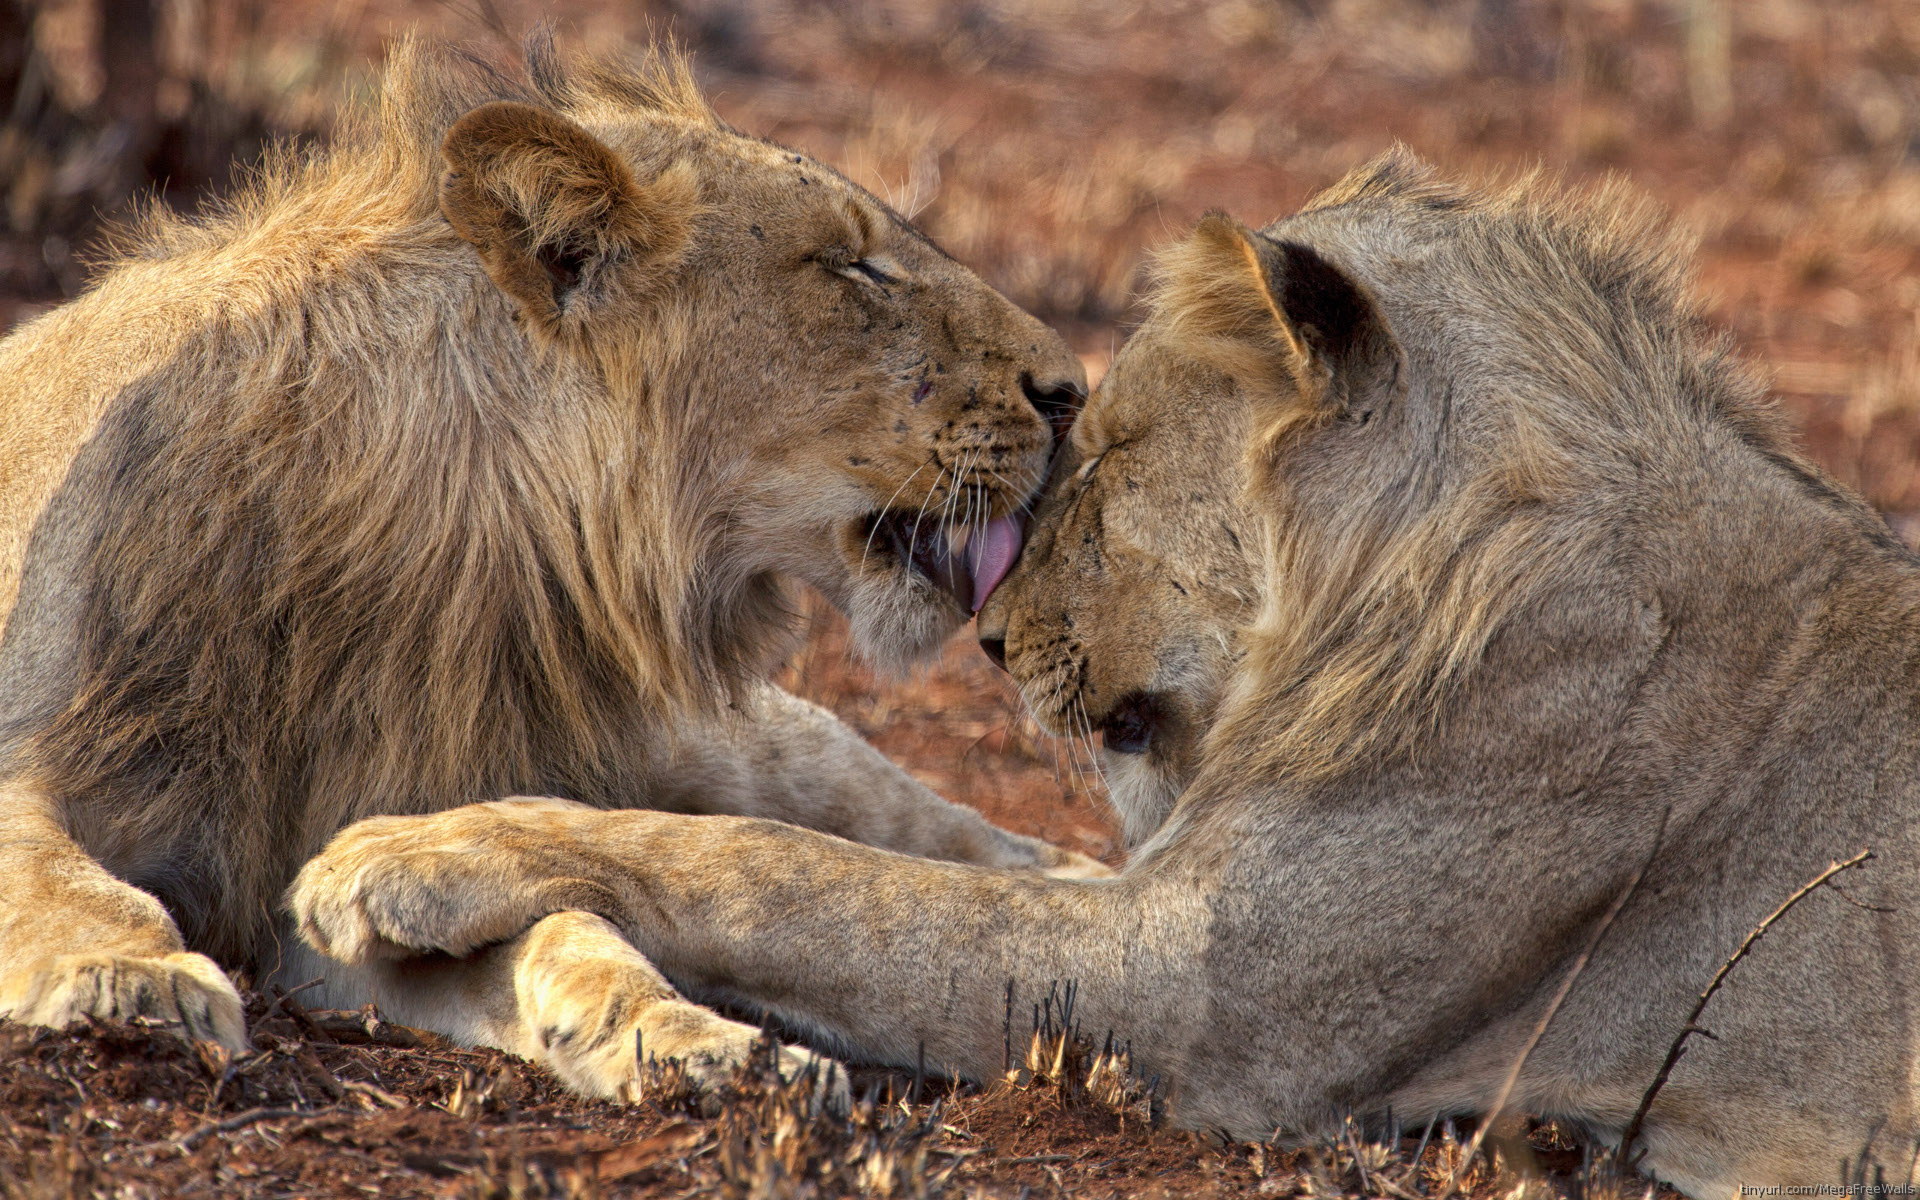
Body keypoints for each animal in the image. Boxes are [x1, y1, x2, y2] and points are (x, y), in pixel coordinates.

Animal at [0, 32, 1113, 1098]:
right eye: (853, 266)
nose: (1071, 395)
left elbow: (567, 929)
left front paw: (695, 1045)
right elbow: (59, 872)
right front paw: (133, 979)